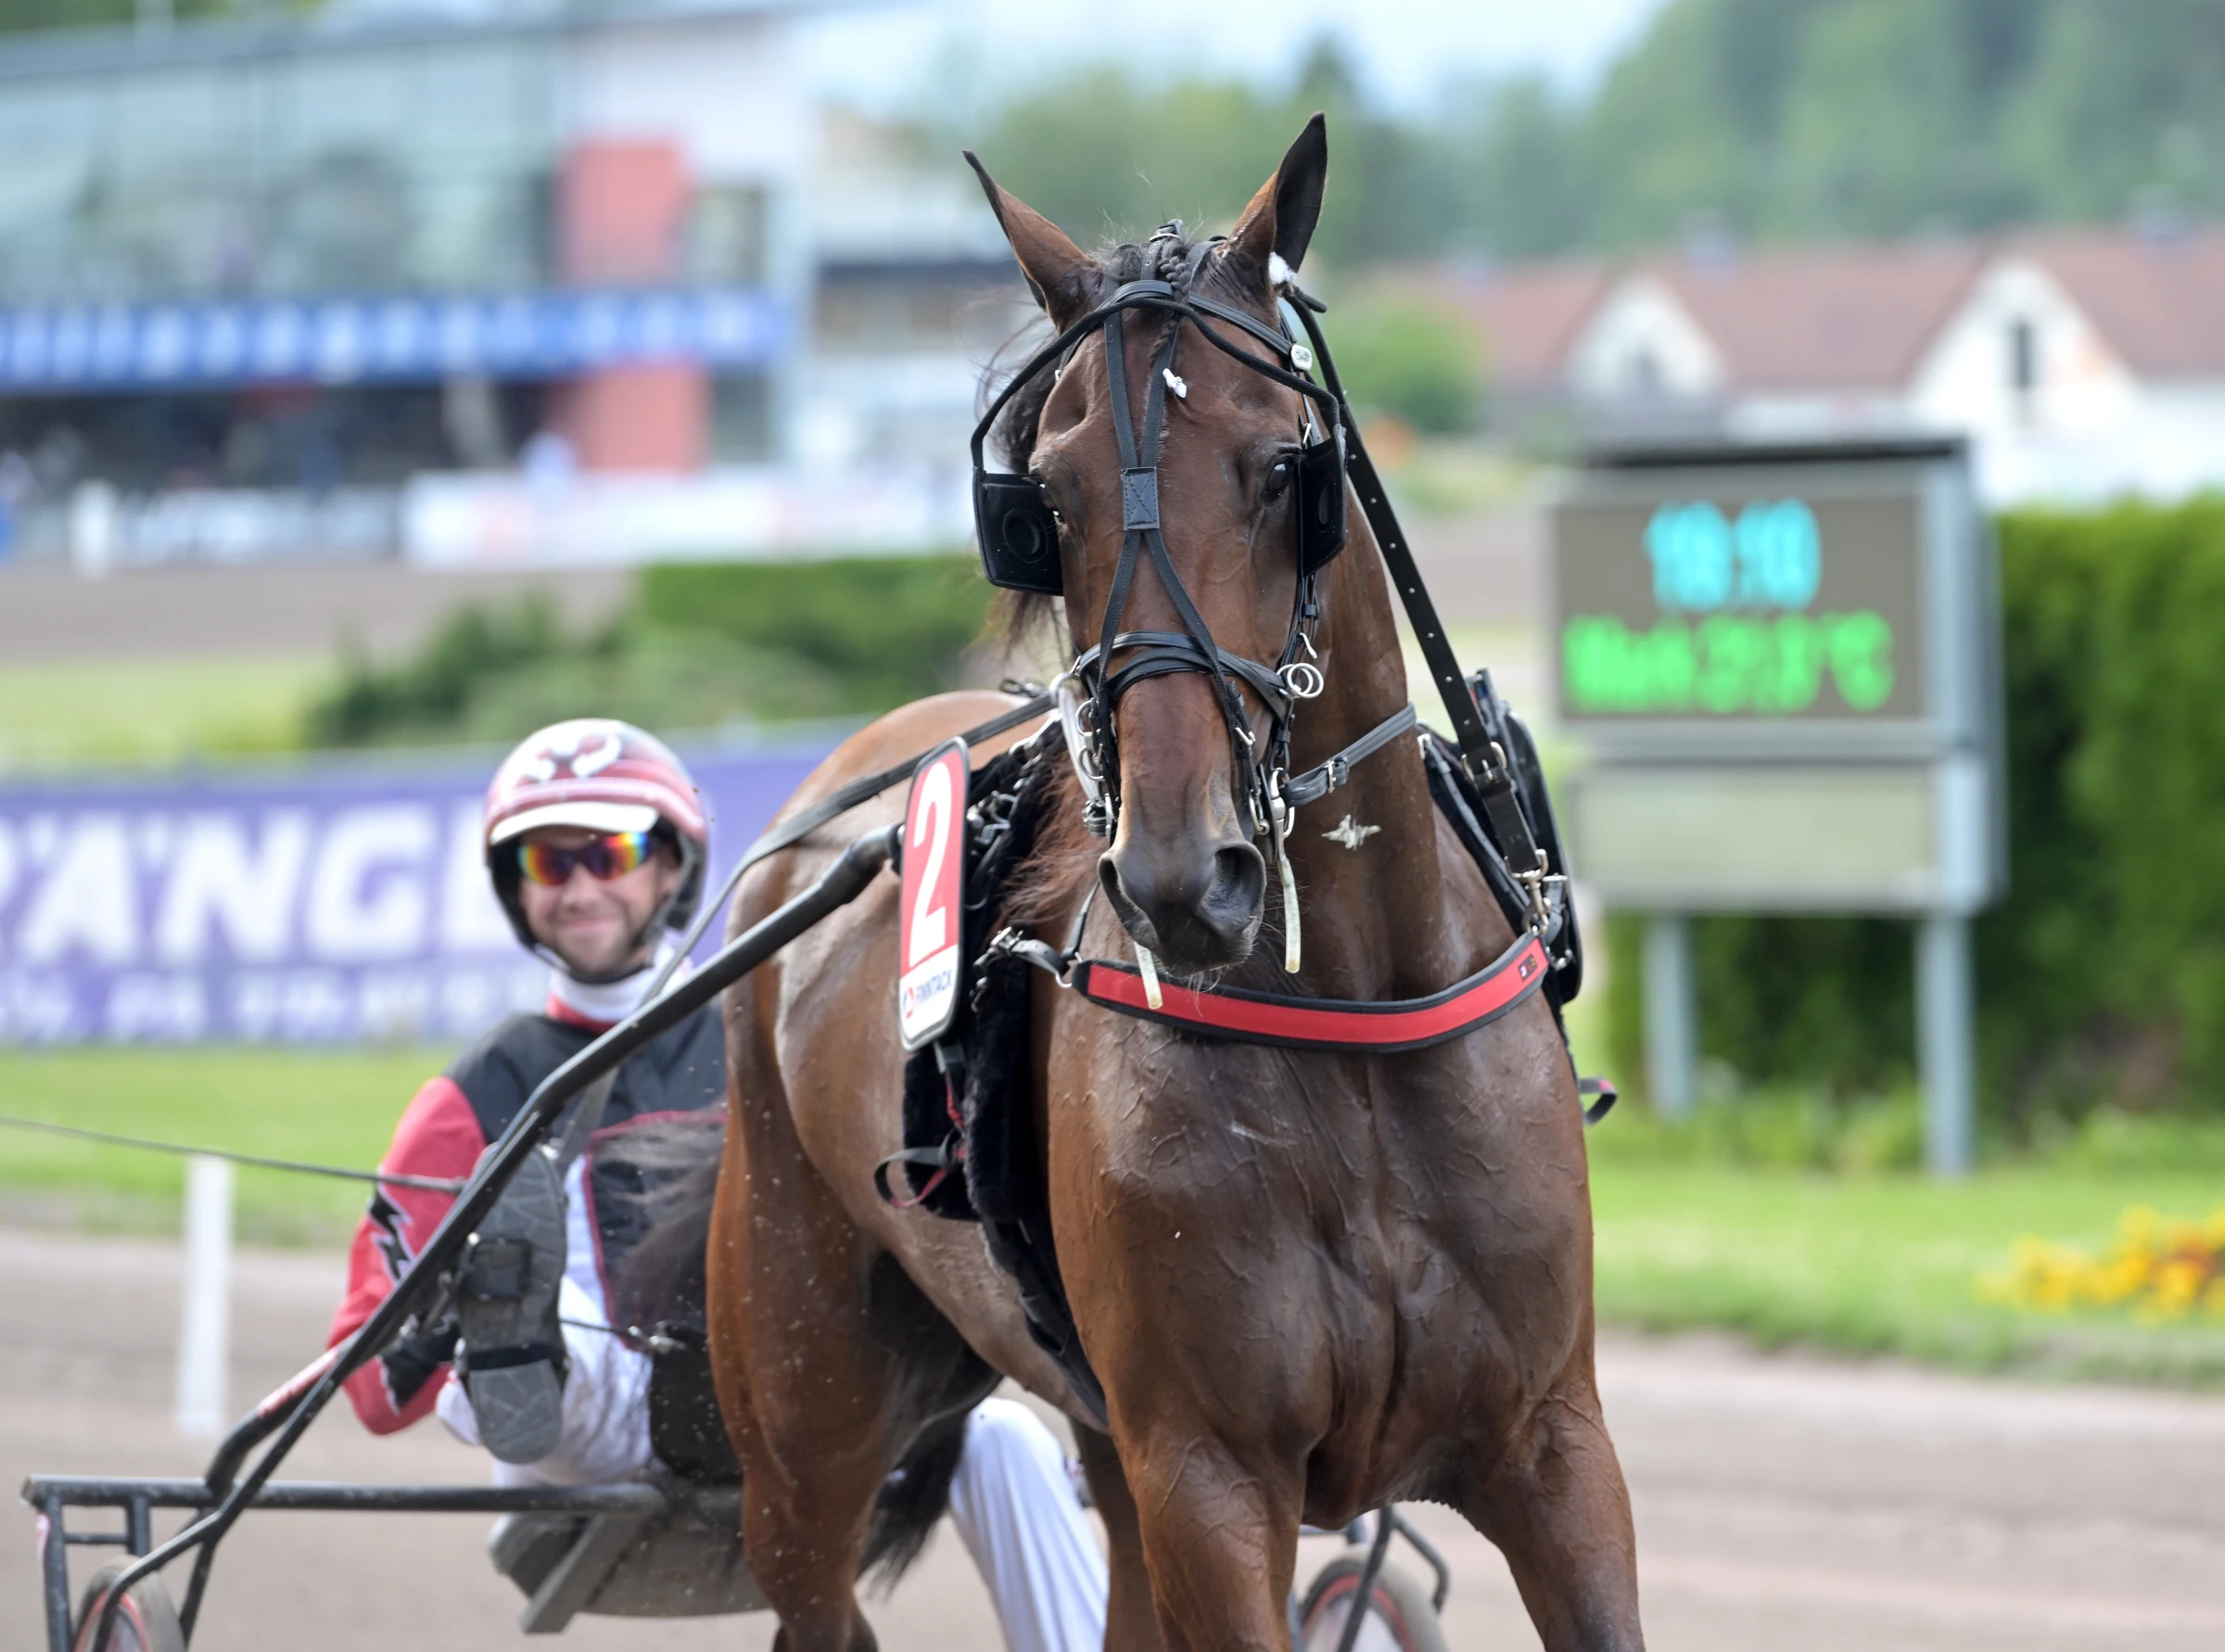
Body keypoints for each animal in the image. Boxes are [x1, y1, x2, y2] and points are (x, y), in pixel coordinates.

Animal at [703, 120, 1646, 1652]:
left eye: (1283, 468)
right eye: (1045, 502)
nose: (1179, 875)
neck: (1348, 1019)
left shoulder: (1555, 1445)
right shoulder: (1208, 1477)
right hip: (800, 1419)